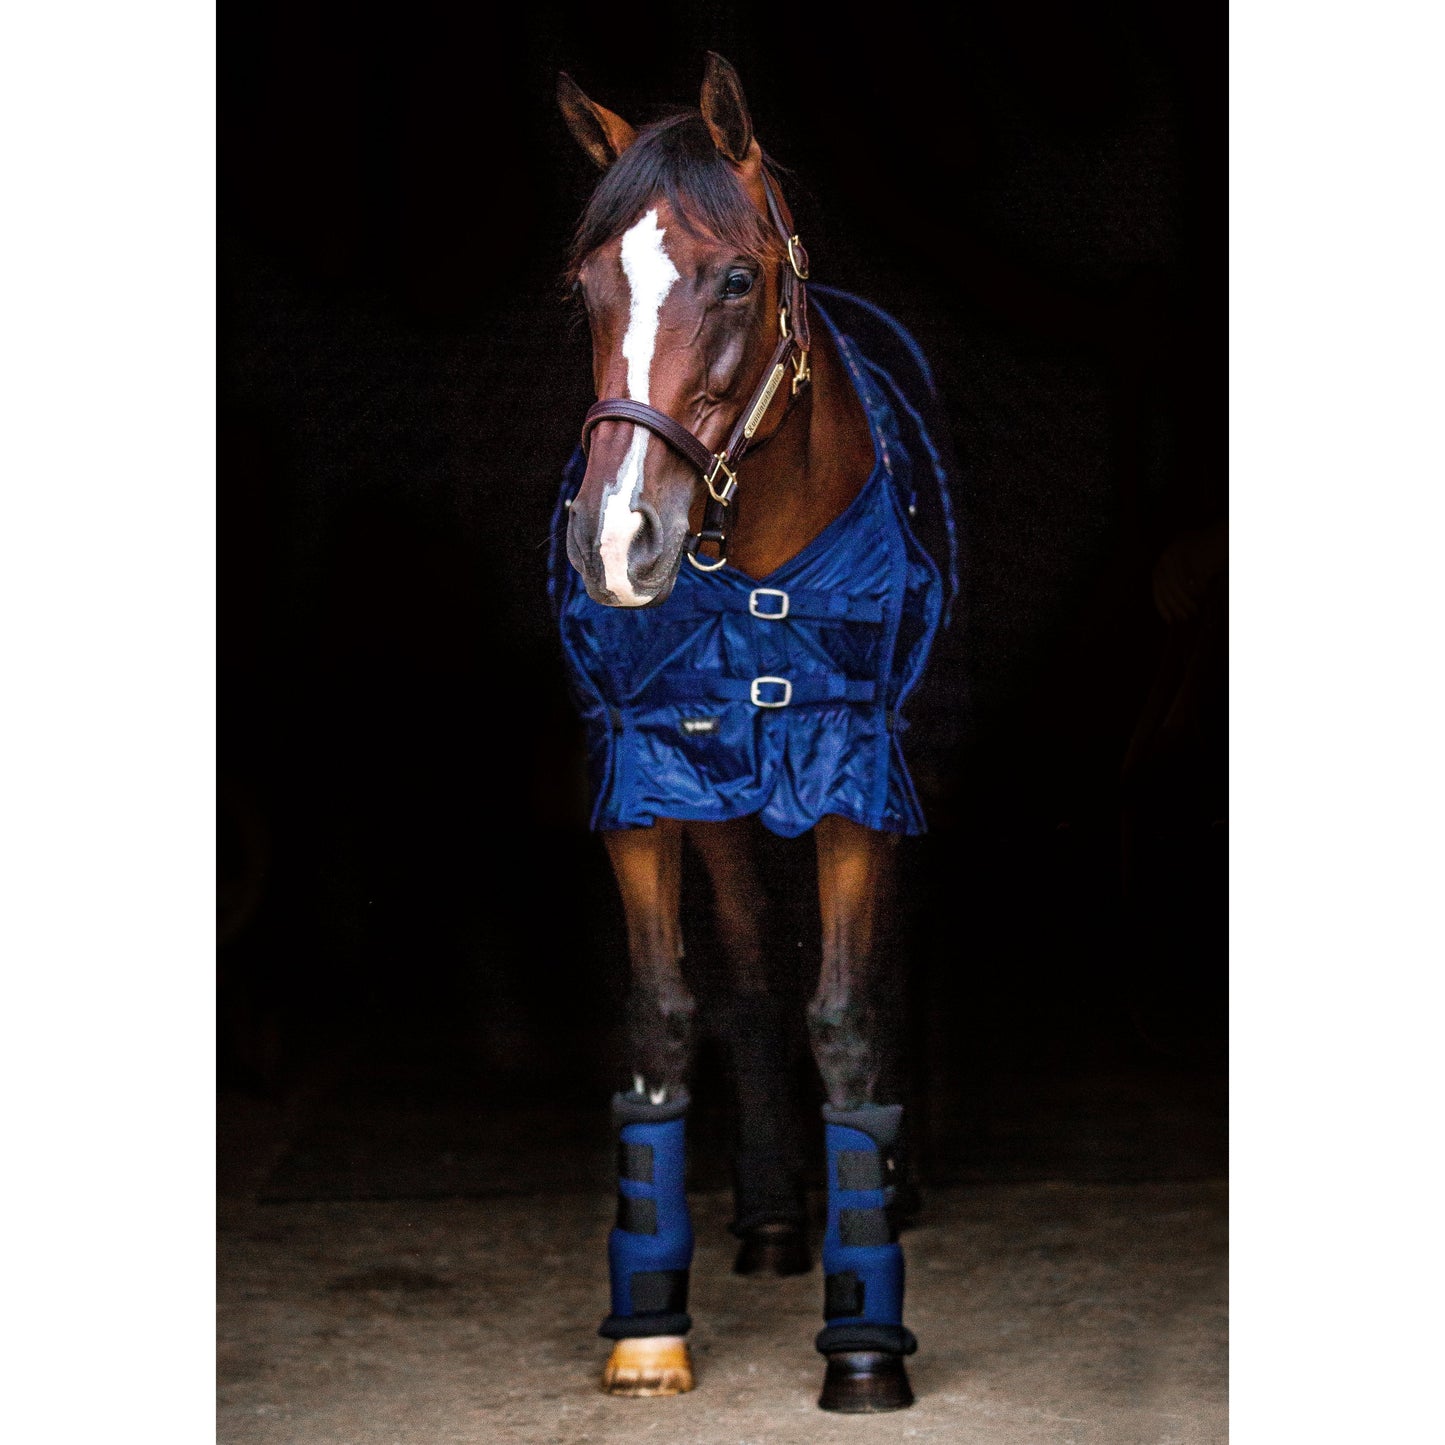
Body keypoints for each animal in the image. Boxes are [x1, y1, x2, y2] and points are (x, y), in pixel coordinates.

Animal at [550, 53, 956, 1413]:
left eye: (734, 279)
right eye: (586, 286)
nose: (615, 541)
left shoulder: (853, 774)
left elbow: (847, 1013)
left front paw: (865, 1337)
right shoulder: (645, 771)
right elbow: (665, 1013)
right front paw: (646, 1321)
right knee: (743, 973)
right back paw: (777, 1221)